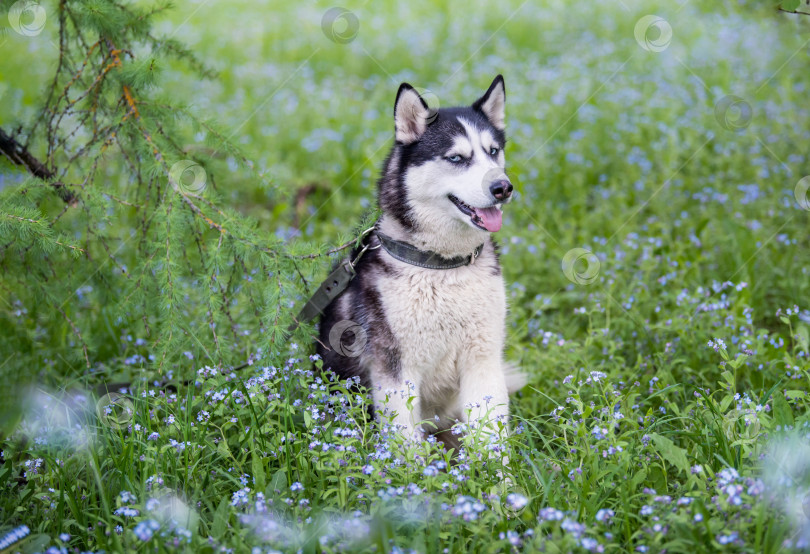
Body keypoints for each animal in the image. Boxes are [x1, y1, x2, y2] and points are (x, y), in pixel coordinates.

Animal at [312, 75, 520, 442]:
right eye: (456, 158)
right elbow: (406, 443)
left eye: (493, 151)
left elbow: (491, 438)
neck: (444, 265)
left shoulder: (483, 360)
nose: (503, 187)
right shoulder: (396, 371)